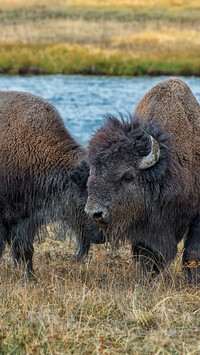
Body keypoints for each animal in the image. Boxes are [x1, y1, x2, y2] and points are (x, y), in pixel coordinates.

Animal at [72, 78, 200, 284]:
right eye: (92, 173)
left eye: (128, 176)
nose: (95, 213)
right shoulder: (144, 227)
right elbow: (145, 254)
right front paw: (145, 279)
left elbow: (193, 252)